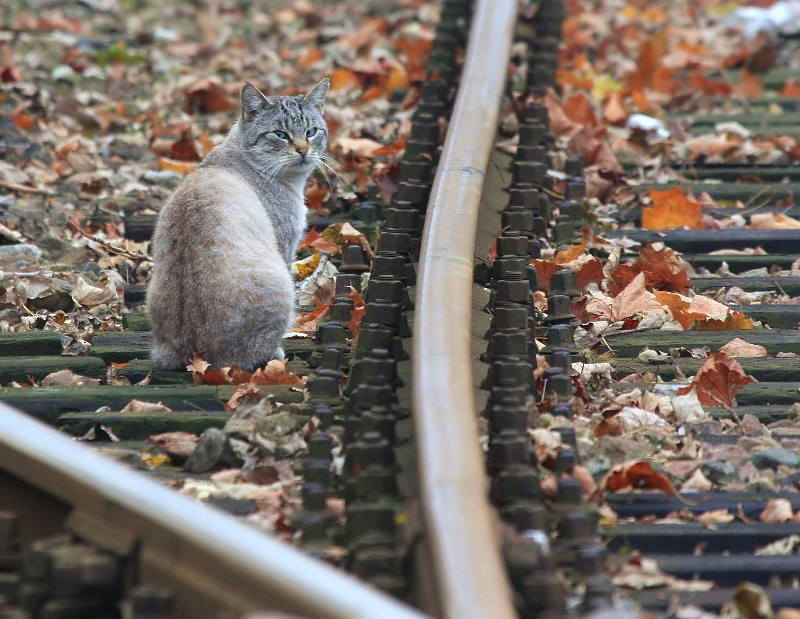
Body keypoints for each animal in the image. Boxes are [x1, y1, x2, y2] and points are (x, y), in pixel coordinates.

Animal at [146, 77, 328, 368]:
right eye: (281, 134)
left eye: (311, 132)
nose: (303, 150)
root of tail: (193, 355)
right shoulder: (286, 248)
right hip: (281, 284)